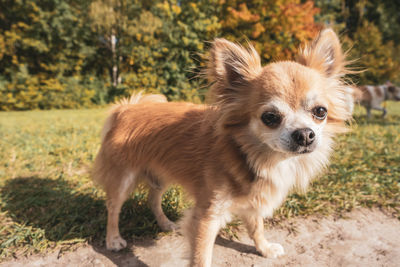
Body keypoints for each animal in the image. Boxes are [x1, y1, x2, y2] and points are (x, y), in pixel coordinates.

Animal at [93, 29, 354, 267]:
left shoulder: (254, 201)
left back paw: (165, 223)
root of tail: (126, 108)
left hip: (160, 176)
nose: (305, 134)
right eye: (270, 117)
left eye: (320, 112)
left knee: (152, 199)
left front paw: (265, 248)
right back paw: (113, 239)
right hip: (123, 179)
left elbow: (256, 227)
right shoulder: (206, 216)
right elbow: (201, 257)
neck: (257, 156)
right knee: (113, 208)